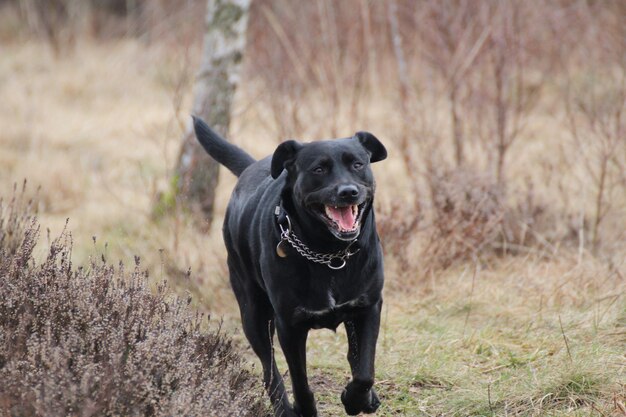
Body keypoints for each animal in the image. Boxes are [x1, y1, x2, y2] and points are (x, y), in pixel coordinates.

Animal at [193, 117, 386, 416]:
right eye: (319, 169)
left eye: (357, 164)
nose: (348, 192)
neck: (328, 253)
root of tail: (250, 167)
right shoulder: (289, 324)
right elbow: (300, 380)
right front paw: (305, 409)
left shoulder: (368, 306)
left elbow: (364, 369)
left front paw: (357, 399)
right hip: (253, 312)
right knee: (268, 368)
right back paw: (283, 407)